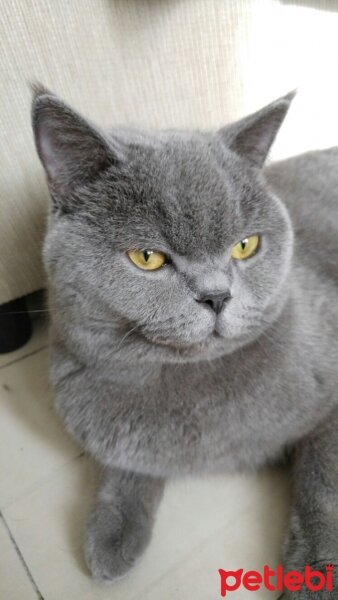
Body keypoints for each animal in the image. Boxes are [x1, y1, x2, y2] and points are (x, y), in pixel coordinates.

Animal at [32, 85, 338, 600]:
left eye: (245, 246)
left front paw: (315, 576)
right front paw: (112, 533)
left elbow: (323, 487)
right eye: (148, 257)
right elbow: (127, 459)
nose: (217, 296)